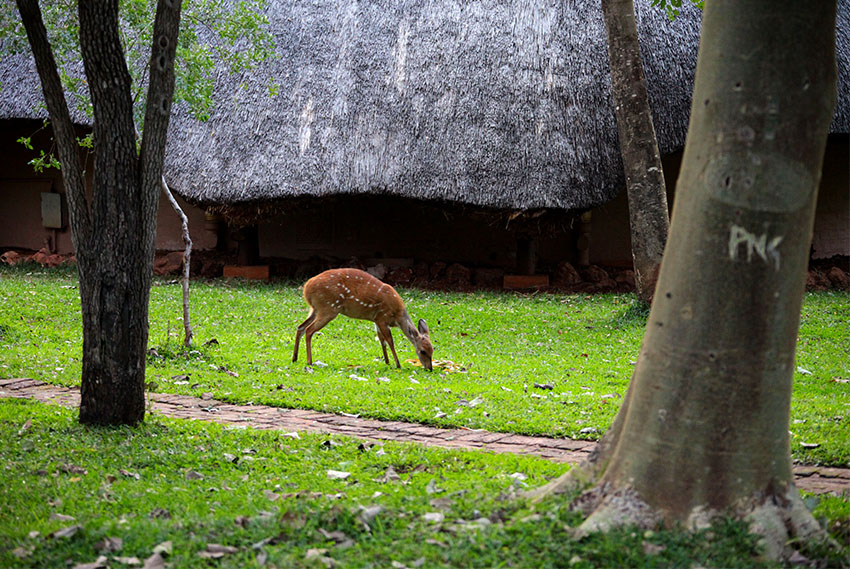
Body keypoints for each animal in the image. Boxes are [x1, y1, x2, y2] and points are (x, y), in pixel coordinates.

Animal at [294, 268, 438, 370]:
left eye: (432, 350)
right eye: (423, 351)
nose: (429, 368)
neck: (398, 317)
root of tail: (306, 288)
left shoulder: (376, 321)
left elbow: (382, 341)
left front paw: (387, 362)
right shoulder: (382, 317)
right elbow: (390, 341)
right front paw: (397, 364)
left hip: (316, 309)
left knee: (300, 327)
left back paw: (294, 358)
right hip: (328, 308)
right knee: (309, 330)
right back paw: (309, 361)